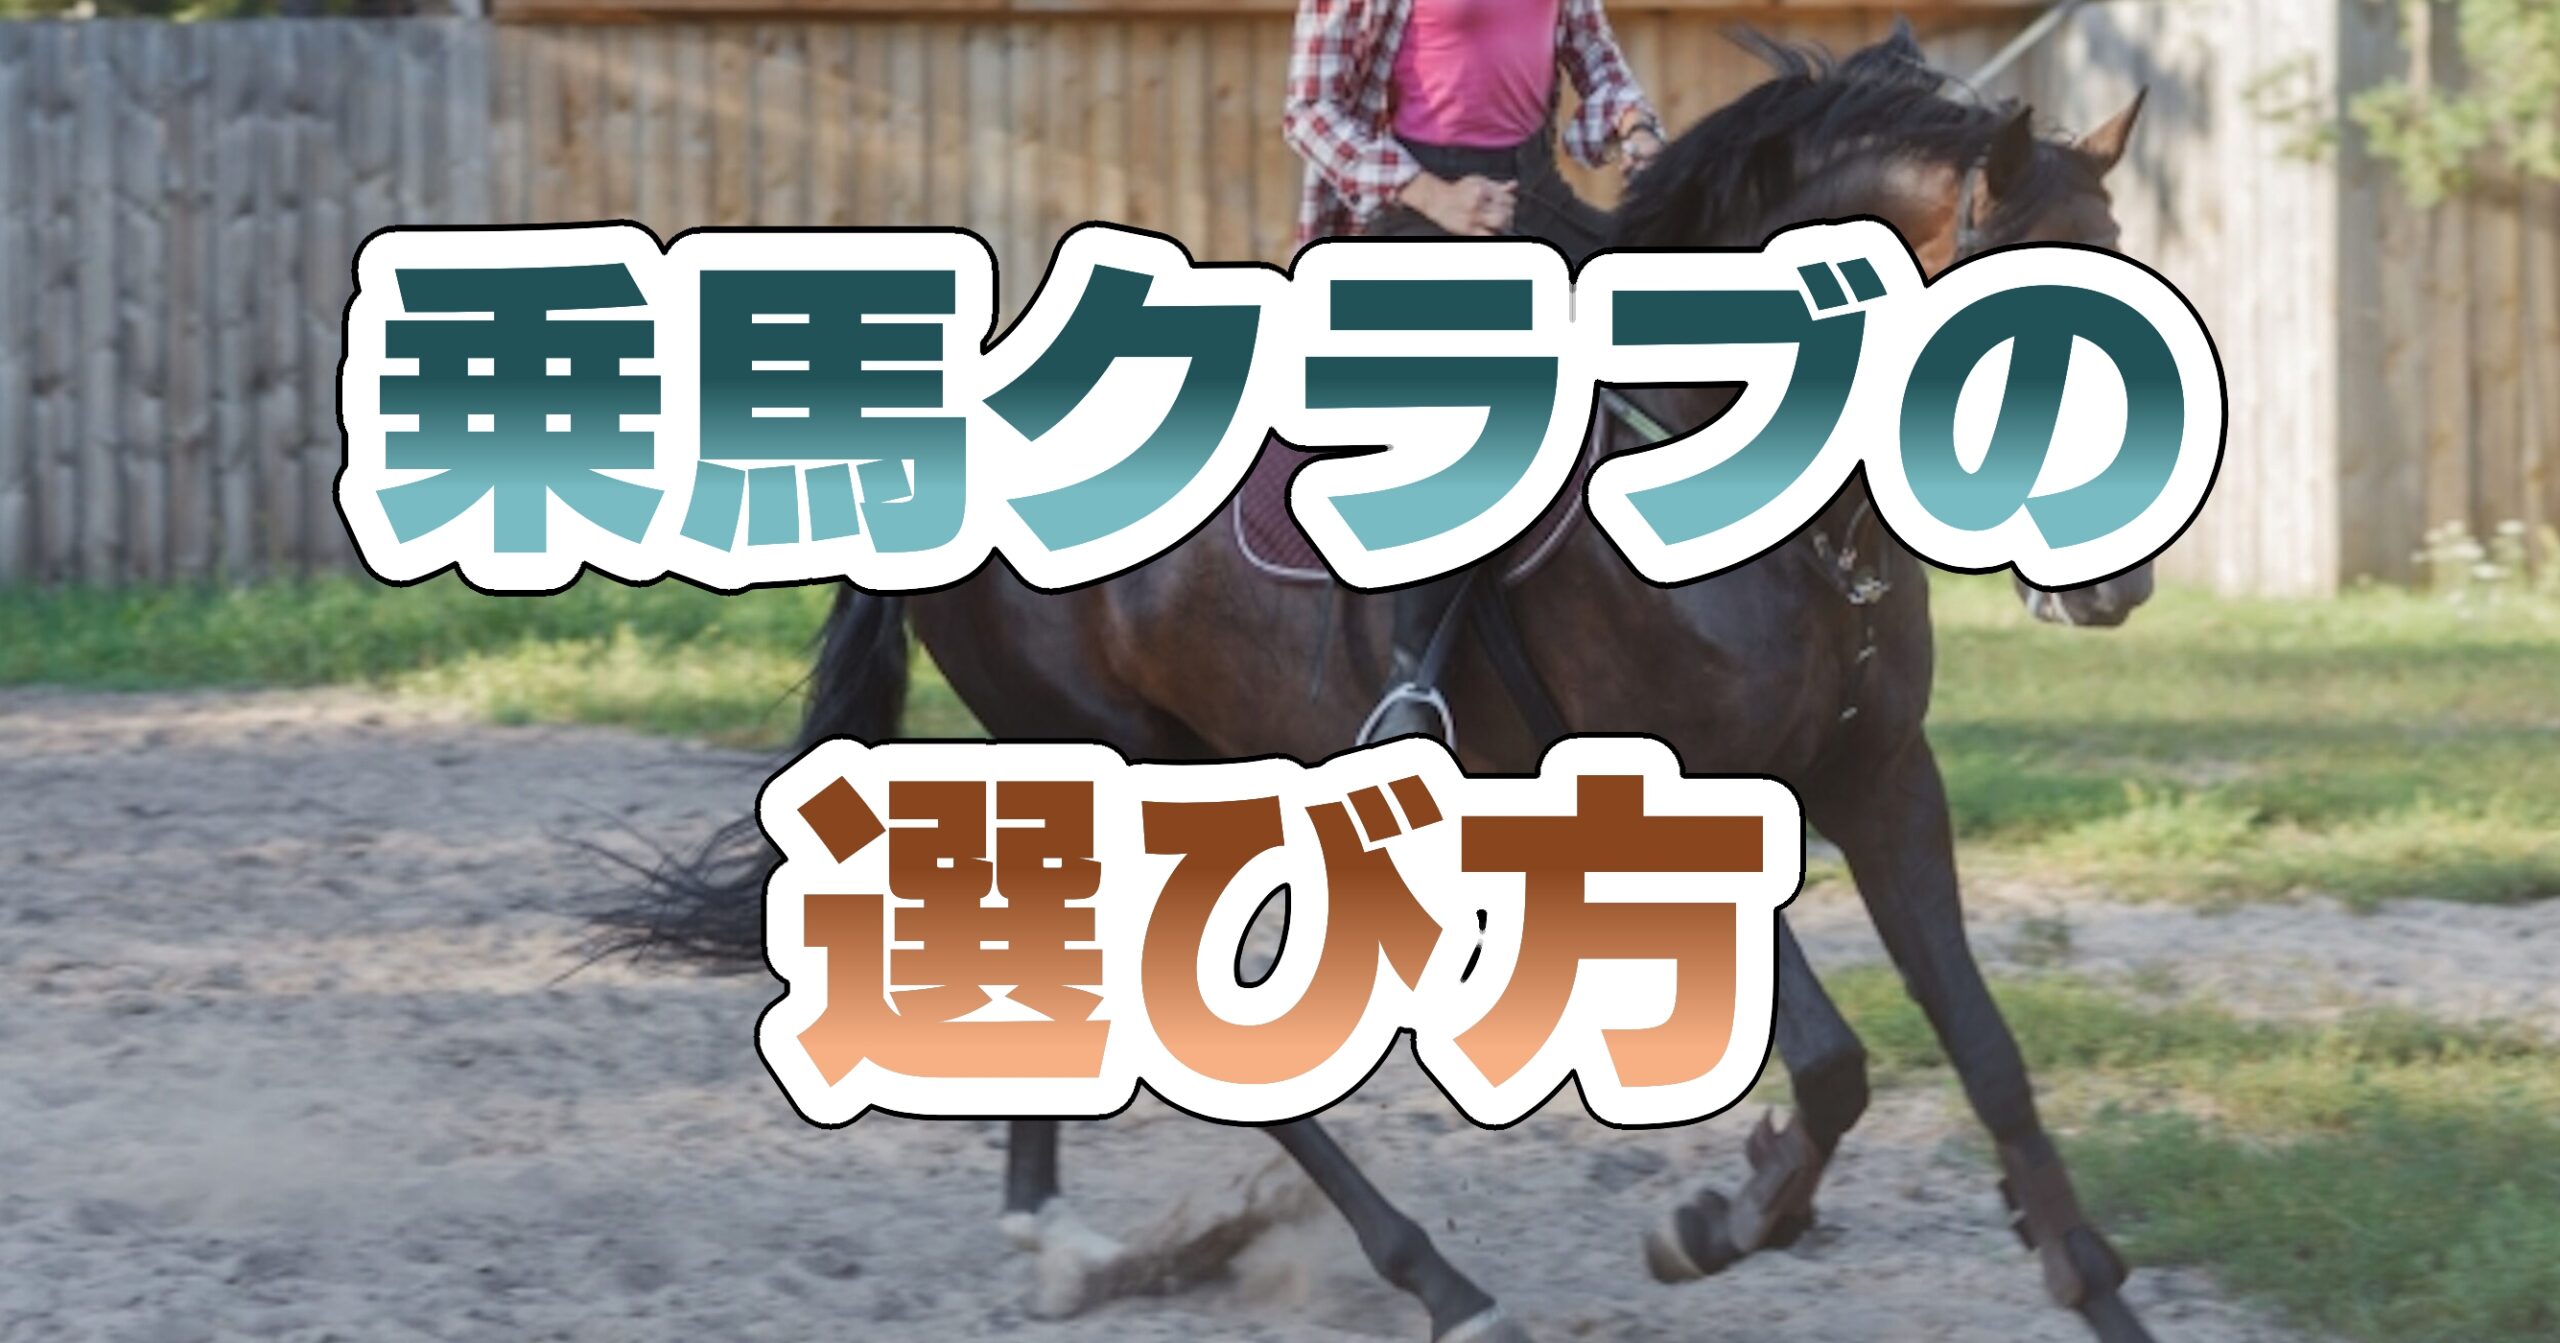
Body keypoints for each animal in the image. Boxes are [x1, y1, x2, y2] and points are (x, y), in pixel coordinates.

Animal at [603, 25, 2163, 1343]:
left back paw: (1062, 1240)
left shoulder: (1885, 781)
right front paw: (1713, 1221)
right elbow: (1835, 1065)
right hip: (1104, 753)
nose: (2111, 587)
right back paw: (1437, 1283)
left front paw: (2091, 1286)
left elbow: (1989, 1056)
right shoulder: (1668, 804)